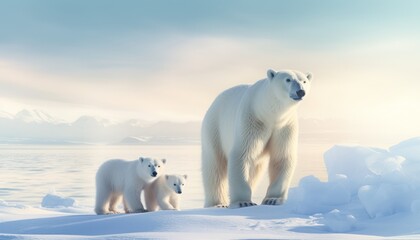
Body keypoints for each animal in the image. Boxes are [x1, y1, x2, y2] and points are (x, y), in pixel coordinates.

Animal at [200, 68, 312, 207]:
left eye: (304, 81)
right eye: (288, 79)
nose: (301, 91)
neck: (269, 114)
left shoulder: (284, 126)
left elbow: (281, 157)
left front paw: (273, 199)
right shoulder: (252, 120)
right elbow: (241, 154)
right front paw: (243, 202)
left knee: (255, 170)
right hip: (214, 129)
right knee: (214, 167)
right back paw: (217, 203)